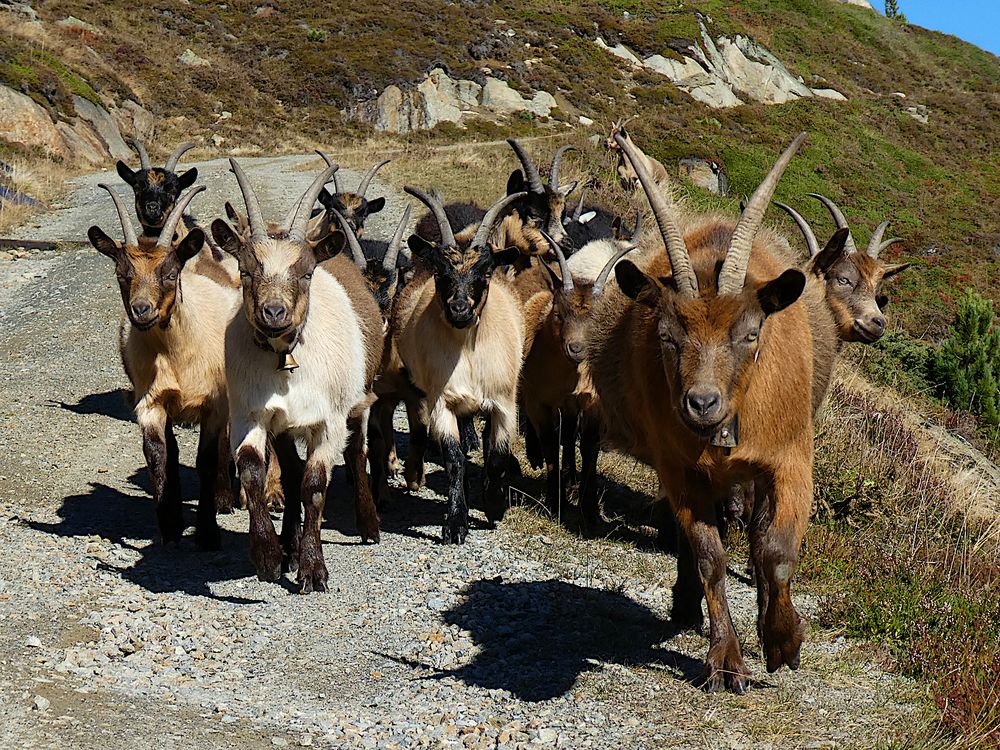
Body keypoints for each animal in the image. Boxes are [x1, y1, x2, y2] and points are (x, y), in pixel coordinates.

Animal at [87, 182, 239, 548]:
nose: (142, 310)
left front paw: (208, 533)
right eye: (122, 274)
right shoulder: (151, 401)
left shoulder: (215, 404)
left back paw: (224, 500)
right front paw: (169, 525)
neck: (177, 356)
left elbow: (206, 459)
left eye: (169, 274)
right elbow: (158, 454)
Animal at [211, 160, 382, 592]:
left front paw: (313, 570)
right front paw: (270, 556)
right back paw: (287, 545)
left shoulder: (328, 421)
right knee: (288, 473)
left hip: (360, 398)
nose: (274, 313)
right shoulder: (252, 415)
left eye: (305, 273)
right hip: (285, 426)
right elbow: (255, 472)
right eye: (246, 270)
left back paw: (369, 525)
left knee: (357, 453)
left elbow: (315, 485)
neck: (285, 360)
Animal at [390, 187, 528, 540]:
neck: (468, 352)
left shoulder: (504, 403)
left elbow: (498, 457)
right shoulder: (442, 400)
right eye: (441, 273)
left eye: (485, 272)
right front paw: (455, 522)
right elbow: (454, 459)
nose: (460, 309)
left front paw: (494, 507)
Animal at [584, 129, 820, 692]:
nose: (702, 403)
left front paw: (783, 641)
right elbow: (709, 556)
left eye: (751, 334)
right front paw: (726, 662)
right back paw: (686, 603)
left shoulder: (791, 458)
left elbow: (777, 553)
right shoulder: (679, 467)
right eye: (668, 336)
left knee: (758, 536)